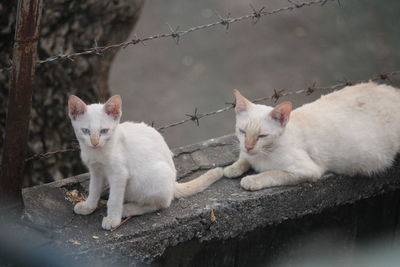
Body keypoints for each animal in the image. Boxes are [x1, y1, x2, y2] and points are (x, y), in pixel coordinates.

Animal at [67, 96, 223, 230]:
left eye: (104, 131)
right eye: (85, 131)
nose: (94, 142)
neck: (99, 152)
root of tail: (173, 183)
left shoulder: (120, 174)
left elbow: (115, 199)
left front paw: (112, 220)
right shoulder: (96, 171)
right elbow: (93, 189)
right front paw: (89, 206)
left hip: (152, 177)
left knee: (161, 204)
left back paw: (128, 208)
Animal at [223, 82, 400, 192]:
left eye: (262, 135)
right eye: (242, 132)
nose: (248, 146)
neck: (264, 153)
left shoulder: (306, 170)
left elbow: (272, 174)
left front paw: (252, 180)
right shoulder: (245, 151)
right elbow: (243, 159)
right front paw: (232, 168)